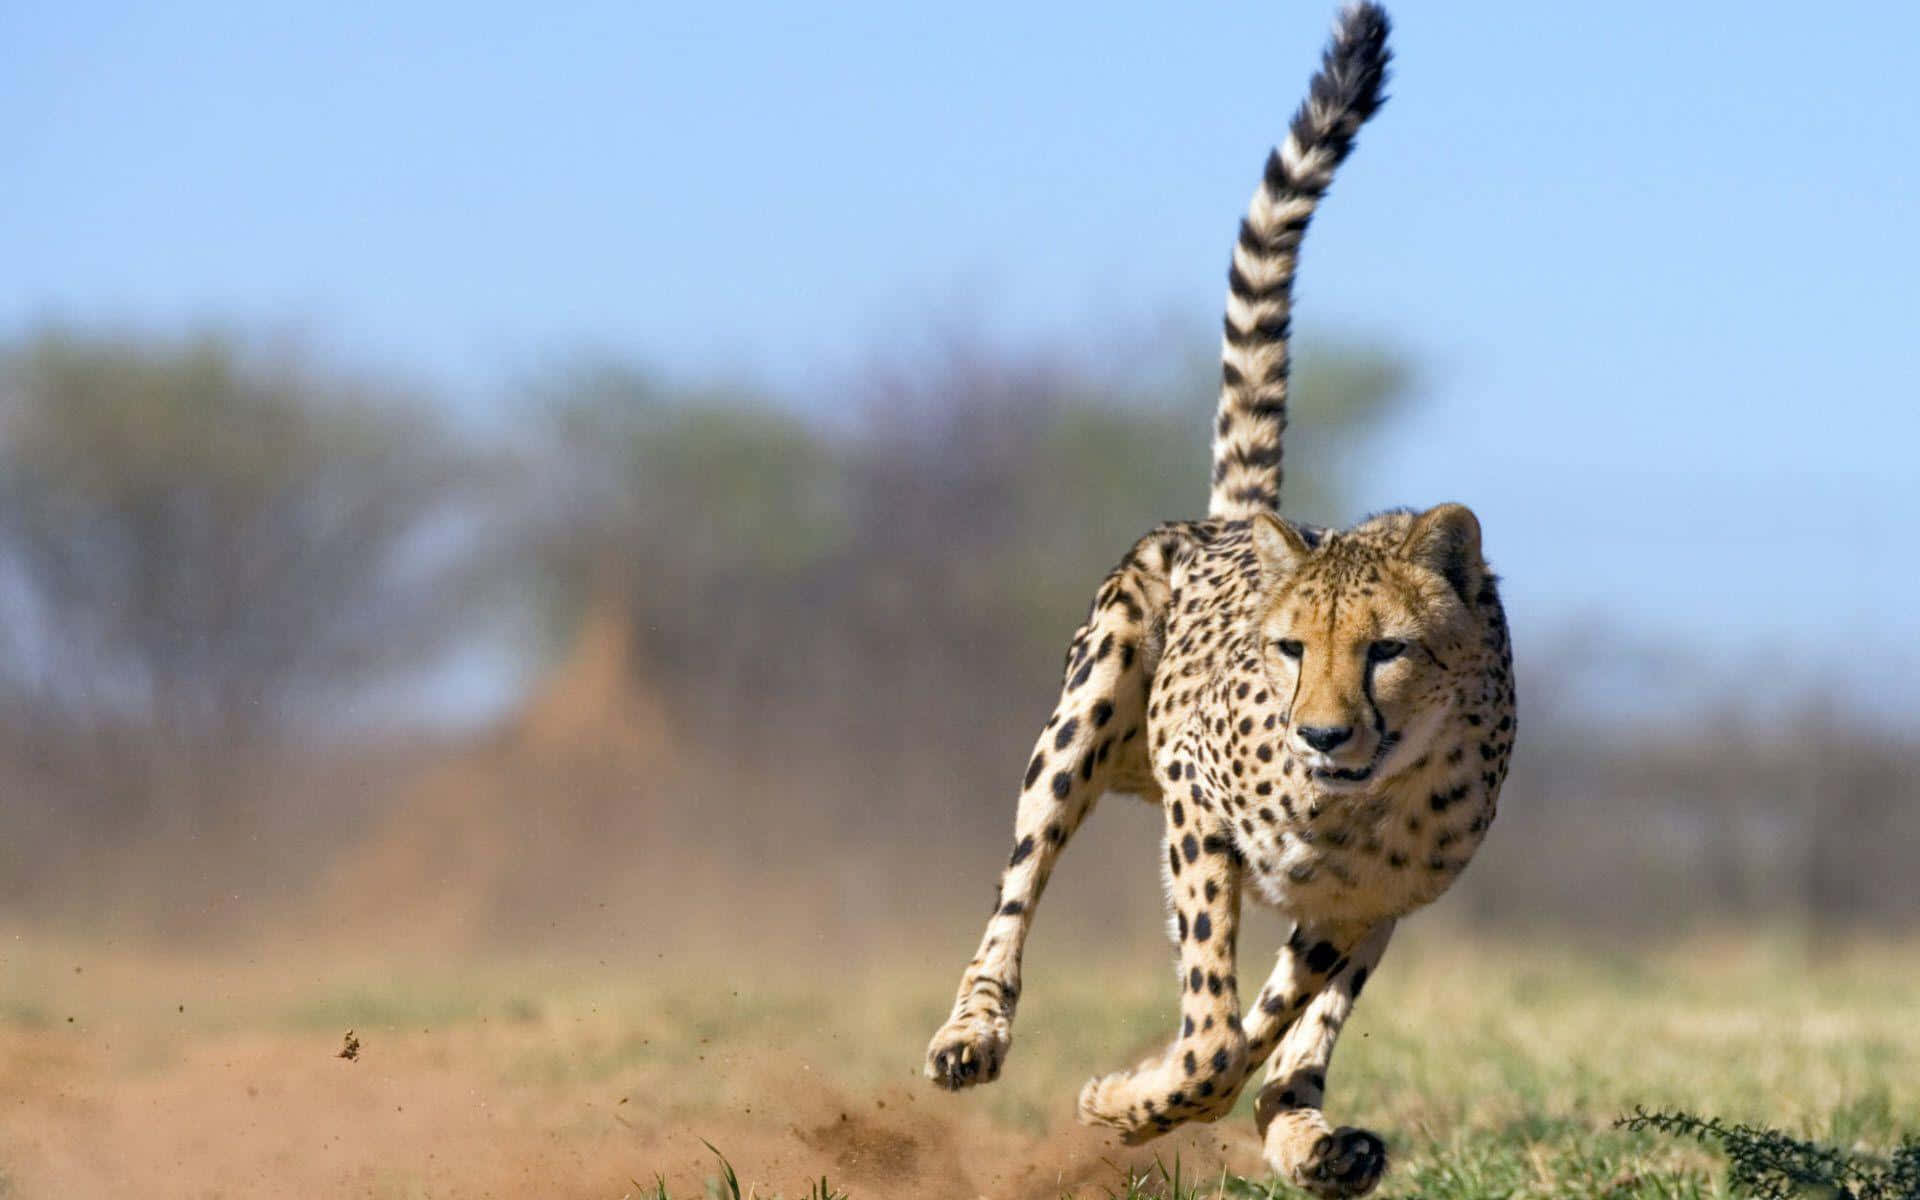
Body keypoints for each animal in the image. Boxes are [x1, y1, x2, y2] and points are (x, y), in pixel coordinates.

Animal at [920, 5, 1516, 1195]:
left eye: (1387, 650)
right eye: (1290, 650)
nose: (1322, 733)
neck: (1362, 797)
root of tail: (1241, 519)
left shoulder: (1364, 900)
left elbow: (1260, 1027)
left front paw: (1156, 1101)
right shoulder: (1198, 809)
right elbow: (1209, 1035)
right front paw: (1127, 1101)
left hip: (1369, 912)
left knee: (1293, 1036)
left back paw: (1314, 1135)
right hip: (1088, 709)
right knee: (1020, 886)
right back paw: (975, 1032)